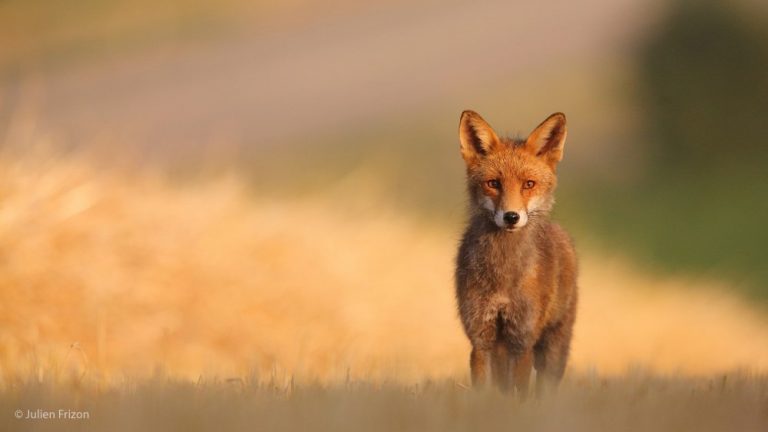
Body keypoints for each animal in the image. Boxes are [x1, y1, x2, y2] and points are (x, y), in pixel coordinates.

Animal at [456, 109, 576, 396]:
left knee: (545, 387)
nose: (511, 217)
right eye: (493, 183)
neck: (503, 276)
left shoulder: (522, 339)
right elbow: (486, 391)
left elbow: (519, 394)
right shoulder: (481, 337)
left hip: (553, 348)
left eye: (528, 184)